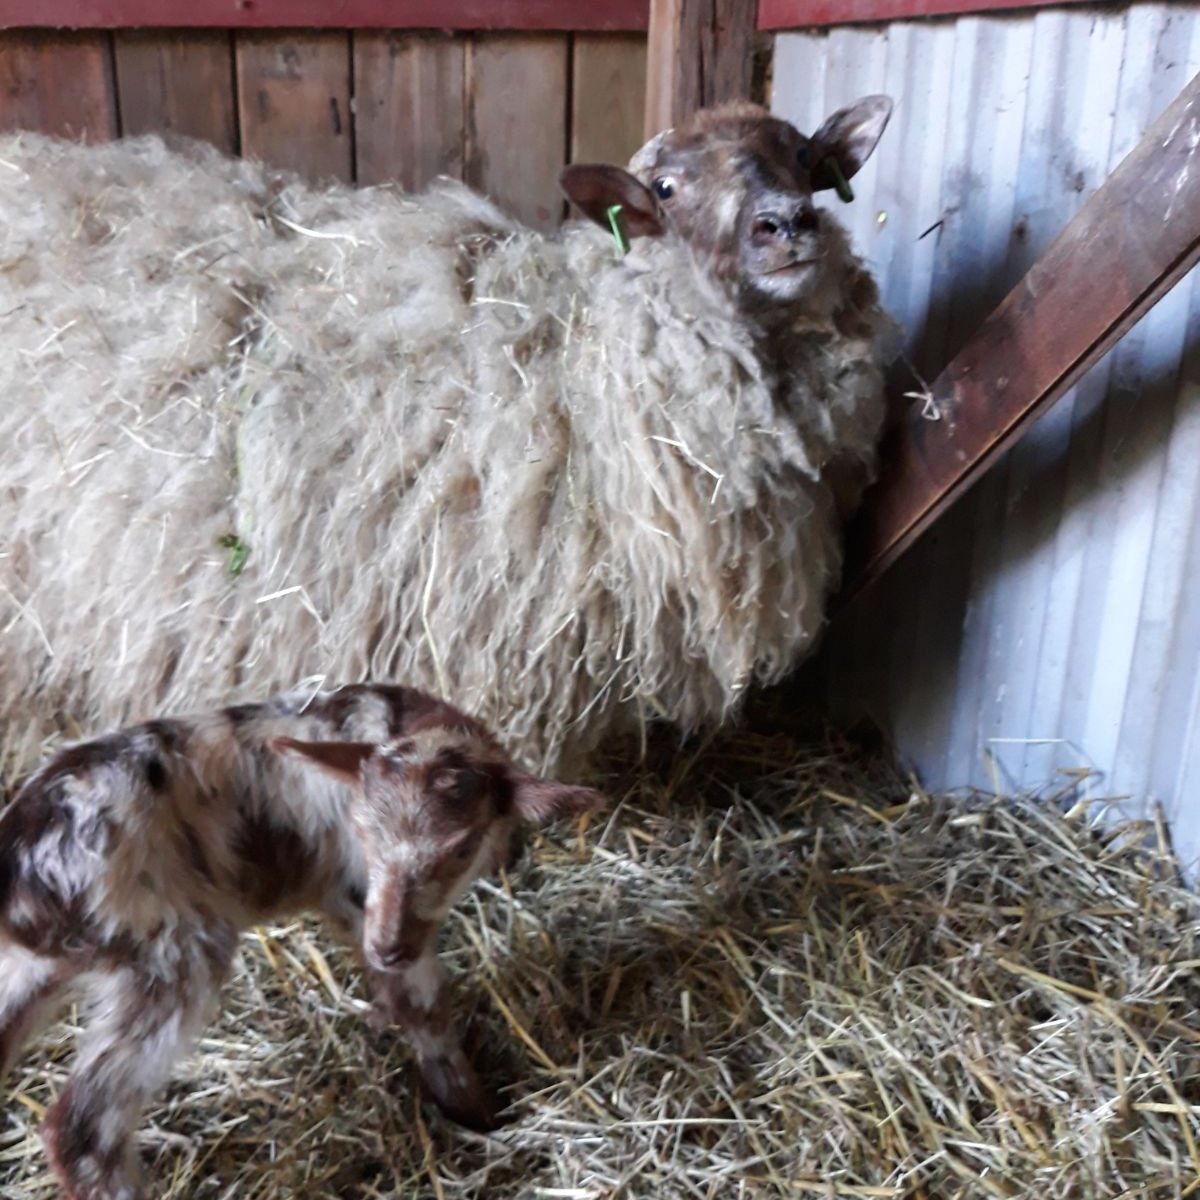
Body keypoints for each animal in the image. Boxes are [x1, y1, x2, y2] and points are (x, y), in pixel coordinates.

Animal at [0, 681, 604, 1199]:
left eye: (461, 847)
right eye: (364, 831)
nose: (387, 946)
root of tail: (22, 874)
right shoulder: (361, 897)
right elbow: (426, 1002)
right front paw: (477, 1115)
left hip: (35, 967)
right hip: (172, 951)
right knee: (82, 1128)